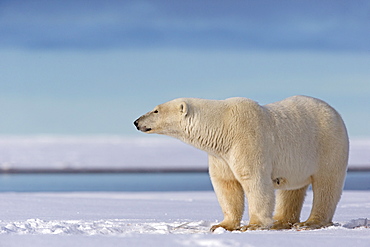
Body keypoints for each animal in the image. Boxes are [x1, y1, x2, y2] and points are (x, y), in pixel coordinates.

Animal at [134, 95, 348, 231]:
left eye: (156, 110)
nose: (136, 122)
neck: (222, 127)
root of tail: (335, 112)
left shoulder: (247, 140)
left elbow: (254, 180)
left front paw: (253, 225)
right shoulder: (221, 155)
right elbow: (226, 185)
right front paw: (221, 225)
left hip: (328, 145)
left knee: (327, 185)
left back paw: (310, 222)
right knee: (292, 190)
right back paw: (281, 221)